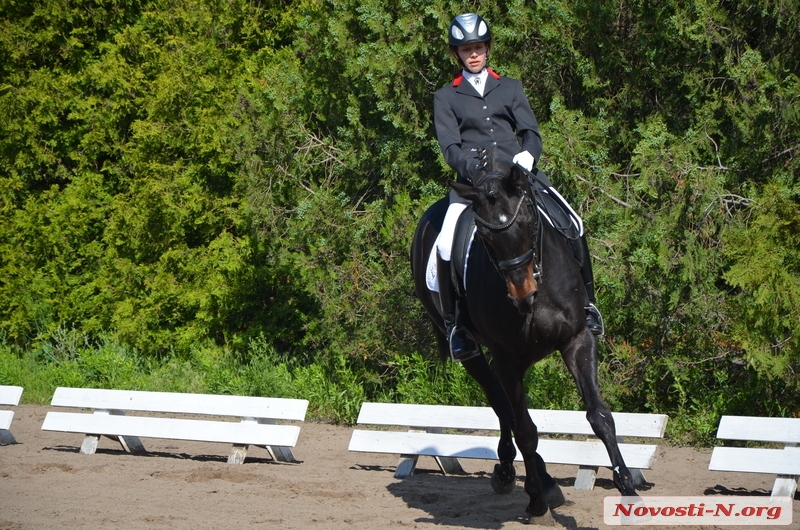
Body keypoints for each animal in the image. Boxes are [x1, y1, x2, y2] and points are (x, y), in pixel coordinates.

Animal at [412, 148, 636, 520]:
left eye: (528, 221)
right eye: (485, 237)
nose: (522, 293)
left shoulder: (577, 340)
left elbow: (599, 415)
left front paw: (628, 488)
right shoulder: (507, 358)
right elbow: (527, 431)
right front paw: (535, 499)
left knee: (509, 410)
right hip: (471, 349)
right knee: (504, 406)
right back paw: (526, 478)